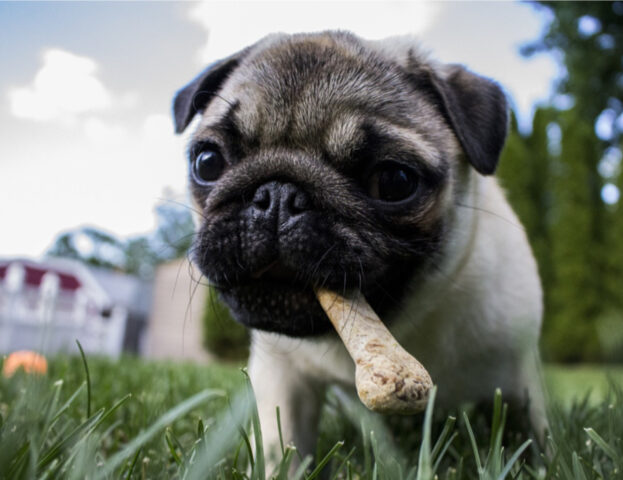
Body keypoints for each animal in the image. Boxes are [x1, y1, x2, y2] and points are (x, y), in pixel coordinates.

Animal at [172, 31, 544, 464]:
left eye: (395, 181)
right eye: (208, 162)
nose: (278, 195)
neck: (400, 325)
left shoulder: (519, 374)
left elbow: (536, 435)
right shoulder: (282, 375)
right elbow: (281, 447)